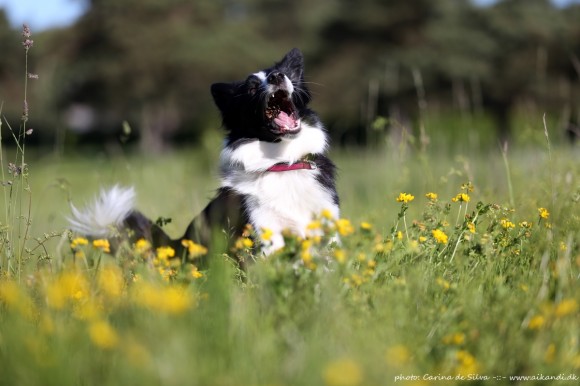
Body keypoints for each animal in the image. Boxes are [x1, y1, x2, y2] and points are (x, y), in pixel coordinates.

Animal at [69, 48, 340, 260]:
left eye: (284, 75)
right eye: (252, 88)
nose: (277, 76)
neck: (283, 162)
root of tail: (178, 245)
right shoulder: (266, 233)